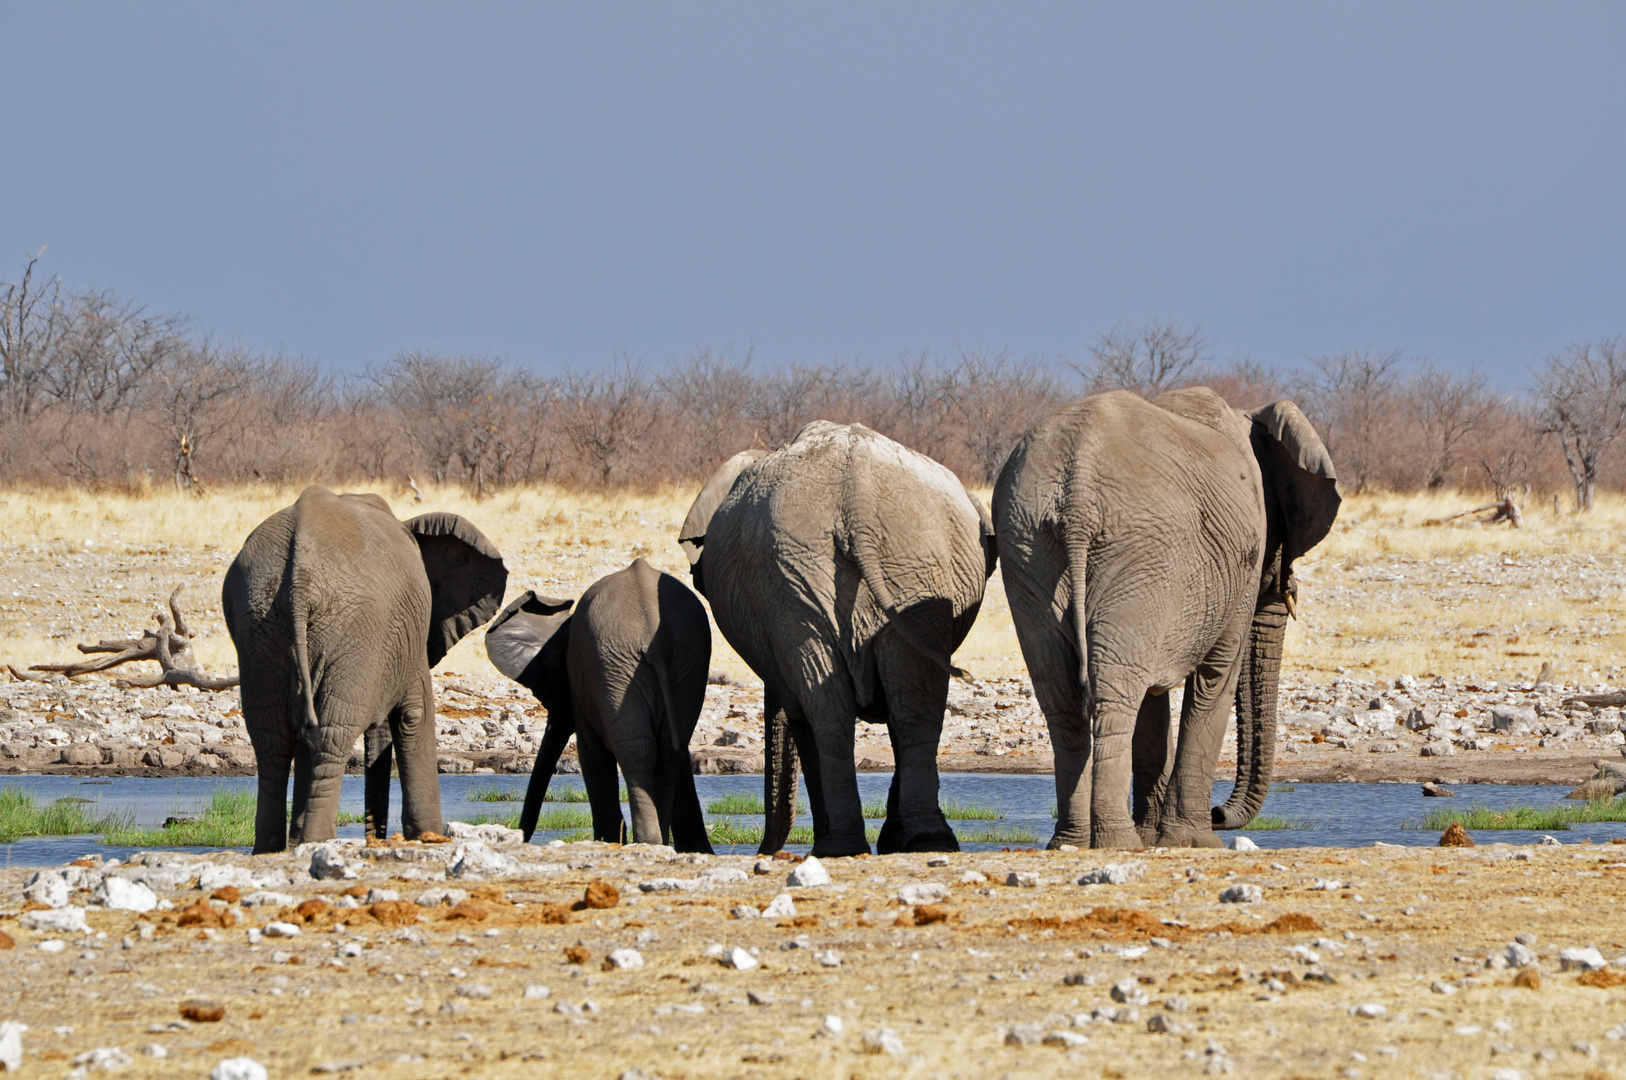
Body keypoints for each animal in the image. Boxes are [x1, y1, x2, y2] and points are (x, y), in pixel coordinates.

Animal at [219, 487, 504, 852]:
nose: (377, 837)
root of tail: (301, 583)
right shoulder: (411, 634)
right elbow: (415, 715)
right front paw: (429, 837)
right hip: (353, 628)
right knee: (330, 733)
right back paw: (317, 840)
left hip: (258, 623)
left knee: (273, 738)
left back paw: (273, 849)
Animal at [481, 556, 712, 852]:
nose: (522, 836)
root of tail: (655, 637)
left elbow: (591, 751)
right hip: (680, 661)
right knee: (666, 751)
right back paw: (655, 843)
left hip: (616, 666)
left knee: (637, 751)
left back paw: (645, 842)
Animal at [679, 419, 995, 852]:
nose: (765, 851)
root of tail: (855, 497)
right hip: (864, 569)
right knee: (896, 708)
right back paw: (909, 842)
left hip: (886, 567)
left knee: (842, 711)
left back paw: (857, 846)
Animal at [995, 388, 1339, 852]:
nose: (1219, 814)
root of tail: (1077, 494)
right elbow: (1217, 678)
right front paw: (1195, 841)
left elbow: (1154, 697)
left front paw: (1159, 835)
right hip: (1138, 549)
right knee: (1116, 692)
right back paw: (1119, 843)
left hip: (1028, 546)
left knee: (1063, 696)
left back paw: (1073, 842)